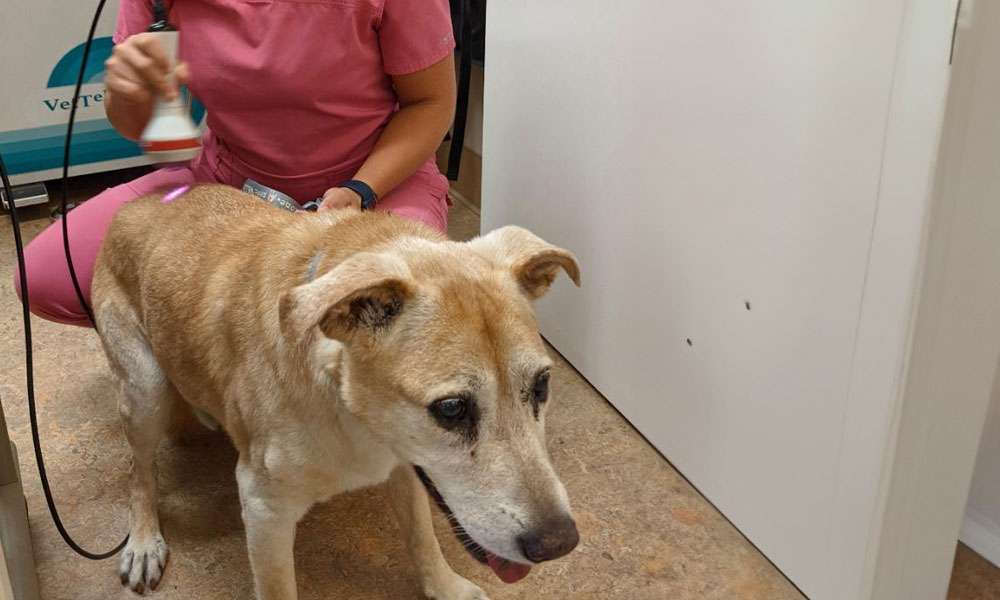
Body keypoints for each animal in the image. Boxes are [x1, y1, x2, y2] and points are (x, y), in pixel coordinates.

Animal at [92, 185, 584, 596]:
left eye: (542, 384)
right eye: (451, 409)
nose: (558, 543)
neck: (346, 410)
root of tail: (139, 204)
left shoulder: (403, 465)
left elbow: (422, 538)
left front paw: (446, 589)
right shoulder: (264, 508)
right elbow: (278, 589)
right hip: (145, 390)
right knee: (140, 471)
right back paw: (143, 542)